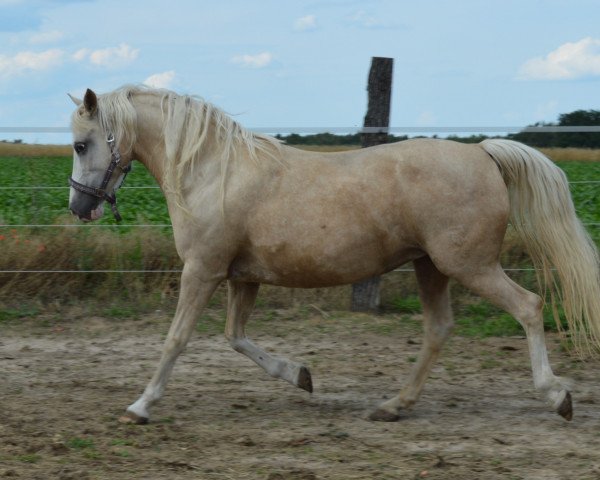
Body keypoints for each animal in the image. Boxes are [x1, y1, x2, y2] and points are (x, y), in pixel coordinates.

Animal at [65, 86, 600, 424]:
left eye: (81, 144)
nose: (78, 207)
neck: (213, 171)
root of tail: (483, 152)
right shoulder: (242, 277)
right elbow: (236, 337)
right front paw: (300, 376)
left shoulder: (203, 271)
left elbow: (176, 340)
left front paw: (140, 406)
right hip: (431, 266)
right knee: (439, 329)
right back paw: (392, 406)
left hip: (469, 265)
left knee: (528, 306)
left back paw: (557, 397)